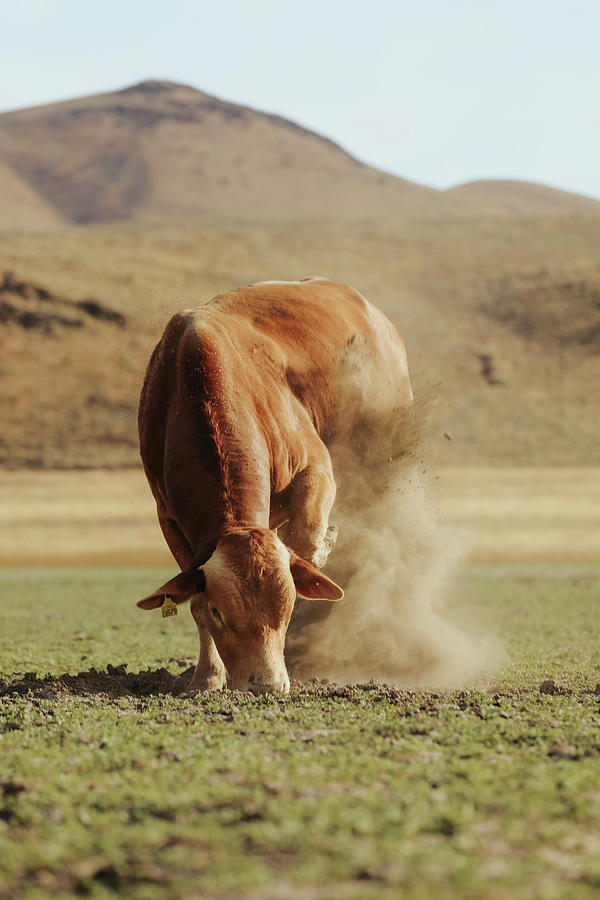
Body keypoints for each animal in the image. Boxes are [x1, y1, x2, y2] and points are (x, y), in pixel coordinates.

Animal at [138, 278, 412, 692]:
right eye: (220, 611)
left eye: (285, 606)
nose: (264, 683)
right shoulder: (169, 518)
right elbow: (193, 598)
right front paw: (207, 677)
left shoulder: (315, 470)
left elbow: (309, 543)